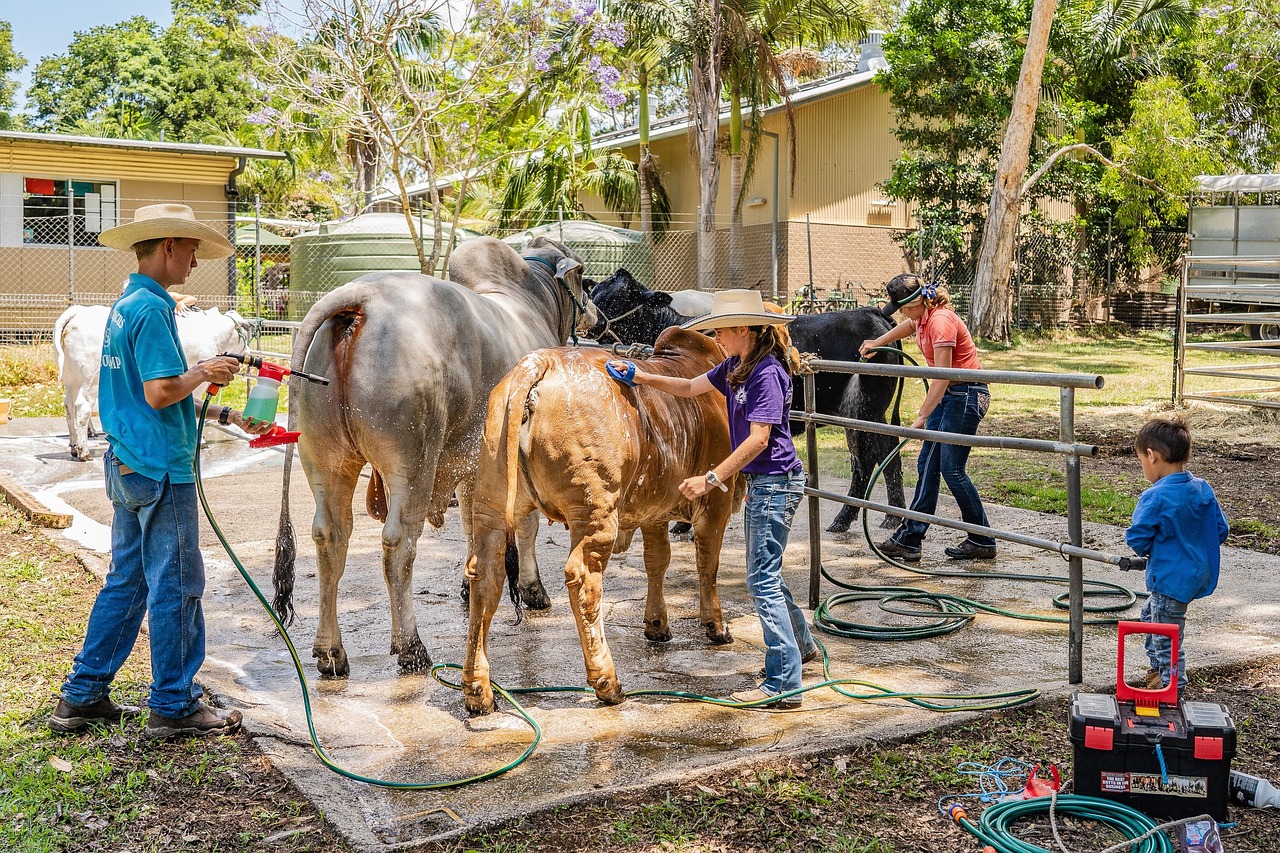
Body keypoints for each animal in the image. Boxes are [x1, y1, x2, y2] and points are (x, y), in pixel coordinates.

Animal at [54, 303, 252, 458]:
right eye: (245, 332)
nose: (250, 354)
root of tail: (77, 313)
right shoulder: (198, 381)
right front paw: (200, 441)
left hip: (72, 379)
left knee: (68, 405)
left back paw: (74, 447)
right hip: (90, 379)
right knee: (82, 407)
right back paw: (83, 451)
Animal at [275, 235, 593, 676]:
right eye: (585, 279)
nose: (594, 312)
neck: (533, 300)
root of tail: (362, 296)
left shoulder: (472, 465)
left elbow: (473, 526)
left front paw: (471, 584)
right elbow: (524, 525)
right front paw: (533, 591)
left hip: (326, 458)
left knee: (330, 536)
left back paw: (330, 652)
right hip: (413, 461)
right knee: (399, 544)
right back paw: (411, 647)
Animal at [465, 326, 737, 712]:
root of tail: (540, 362)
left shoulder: (653, 509)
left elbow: (657, 560)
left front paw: (657, 624)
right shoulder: (716, 499)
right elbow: (707, 563)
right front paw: (716, 626)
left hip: (491, 501)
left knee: (485, 576)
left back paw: (478, 690)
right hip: (595, 511)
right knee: (583, 580)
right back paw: (607, 681)